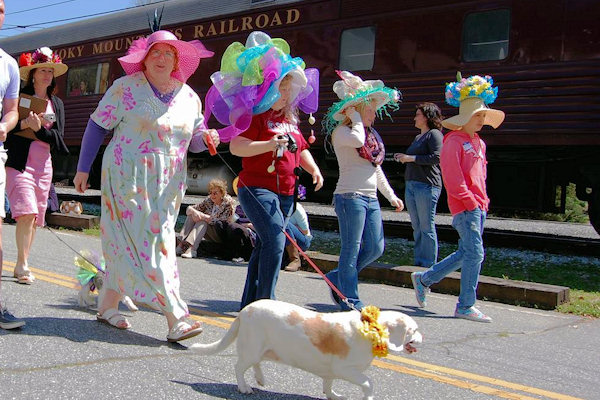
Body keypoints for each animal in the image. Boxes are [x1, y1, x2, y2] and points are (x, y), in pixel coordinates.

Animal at [191, 300, 422, 400]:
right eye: (413, 330)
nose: (422, 338)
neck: (370, 330)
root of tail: (245, 310)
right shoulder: (346, 369)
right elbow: (368, 383)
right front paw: (368, 397)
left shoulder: (331, 371)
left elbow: (328, 384)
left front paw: (333, 395)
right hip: (251, 348)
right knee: (239, 367)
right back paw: (244, 387)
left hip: (259, 349)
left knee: (255, 364)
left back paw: (260, 380)